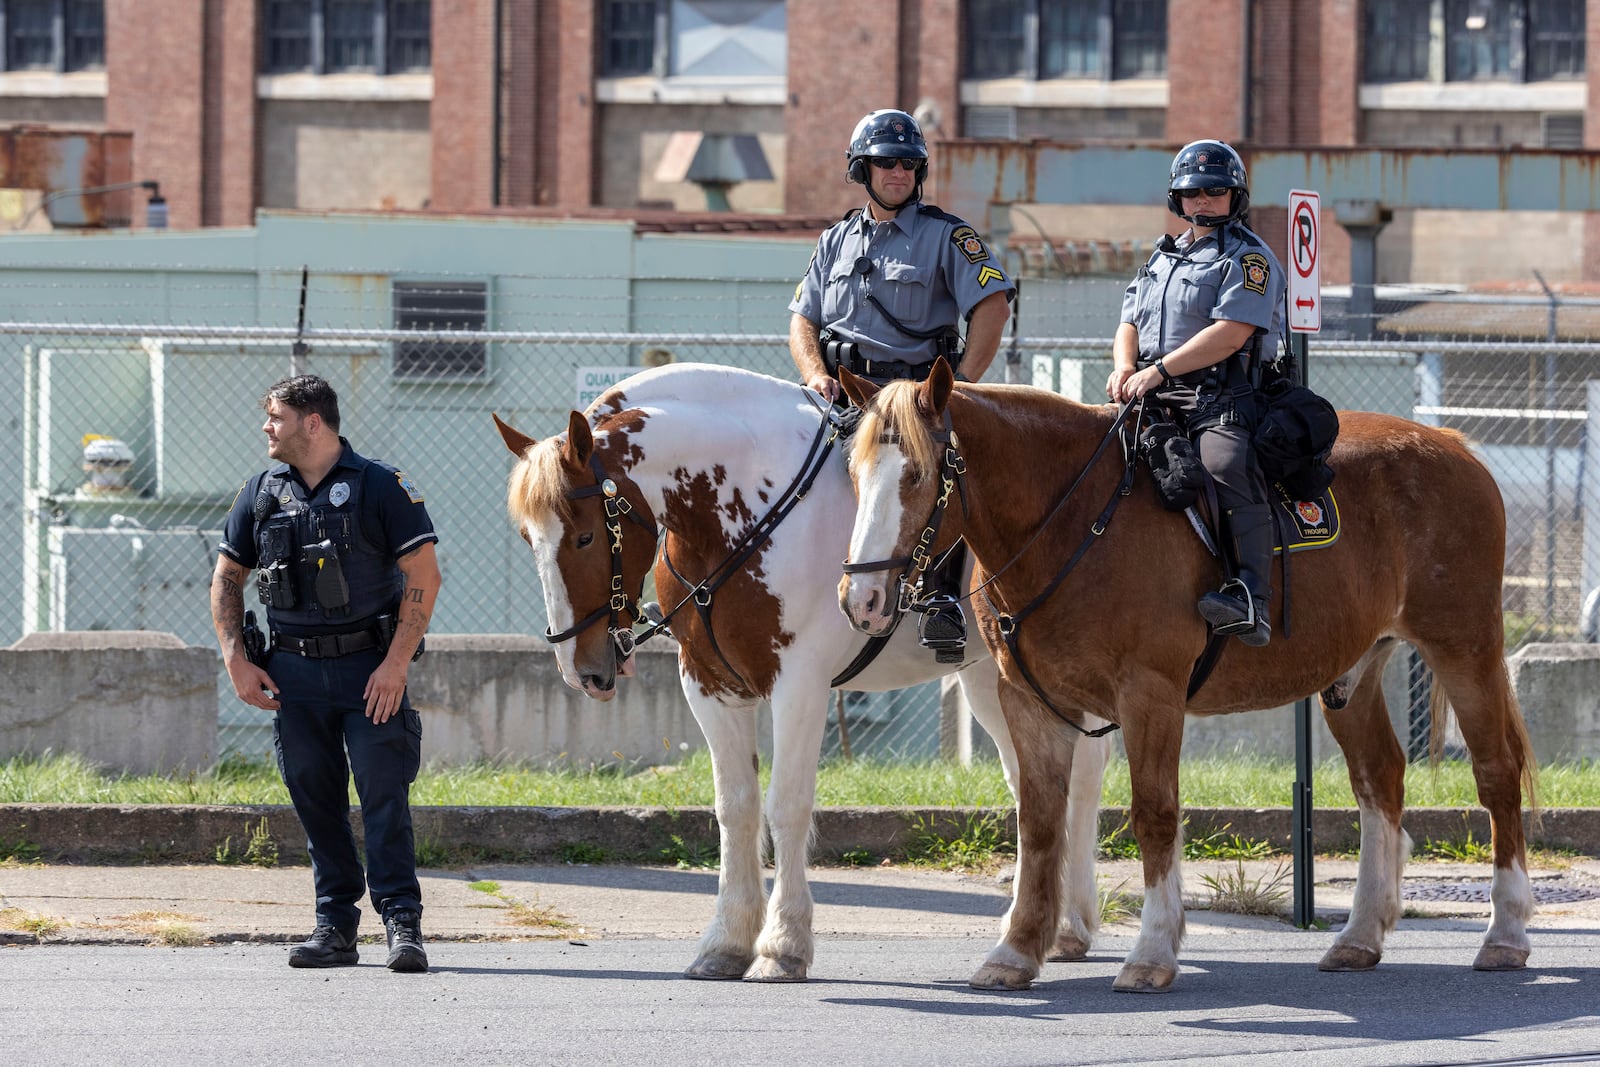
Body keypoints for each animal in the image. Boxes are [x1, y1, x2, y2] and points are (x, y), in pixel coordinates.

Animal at [496, 364, 1113, 985]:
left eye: (584, 536)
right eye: (527, 538)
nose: (583, 669)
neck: (744, 510)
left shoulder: (799, 685)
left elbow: (786, 805)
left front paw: (782, 945)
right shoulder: (708, 685)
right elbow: (735, 808)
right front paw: (727, 941)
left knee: (1082, 781)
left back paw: (1069, 925)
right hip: (989, 680)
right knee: (1031, 786)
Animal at [838, 363, 1536, 998]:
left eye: (918, 474)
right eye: (854, 471)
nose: (861, 599)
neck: (1074, 522)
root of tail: (1452, 444)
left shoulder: (1150, 694)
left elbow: (1154, 815)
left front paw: (1151, 952)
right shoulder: (1028, 700)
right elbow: (1038, 823)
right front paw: (1015, 952)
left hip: (1465, 650)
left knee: (1497, 776)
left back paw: (1505, 934)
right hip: (1353, 675)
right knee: (1380, 781)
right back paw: (1361, 936)